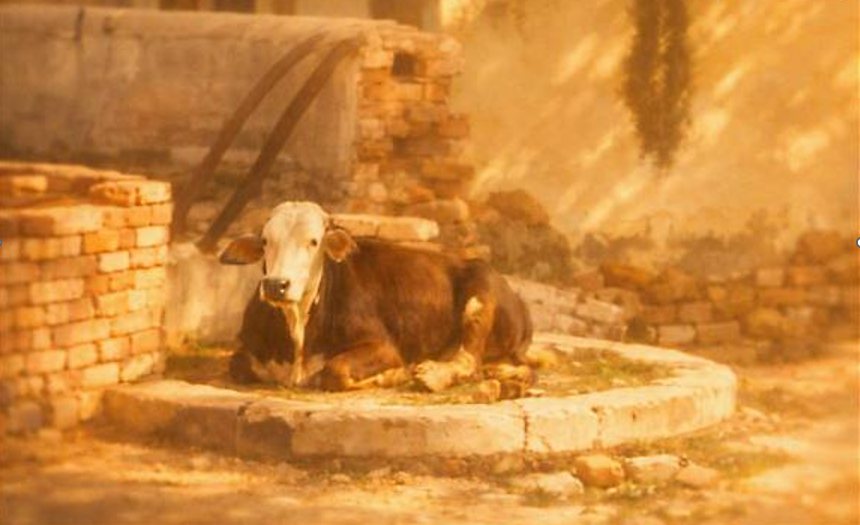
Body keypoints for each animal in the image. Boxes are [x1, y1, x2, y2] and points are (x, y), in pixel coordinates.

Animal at [219, 201, 534, 395]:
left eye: (313, 241)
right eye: (265, 241)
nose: (276, 285)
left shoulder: (385, 347)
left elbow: (335, 370)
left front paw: (394, 376)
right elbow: (237, 365)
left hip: (480, 294)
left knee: (468, 361)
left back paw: (432, 376)